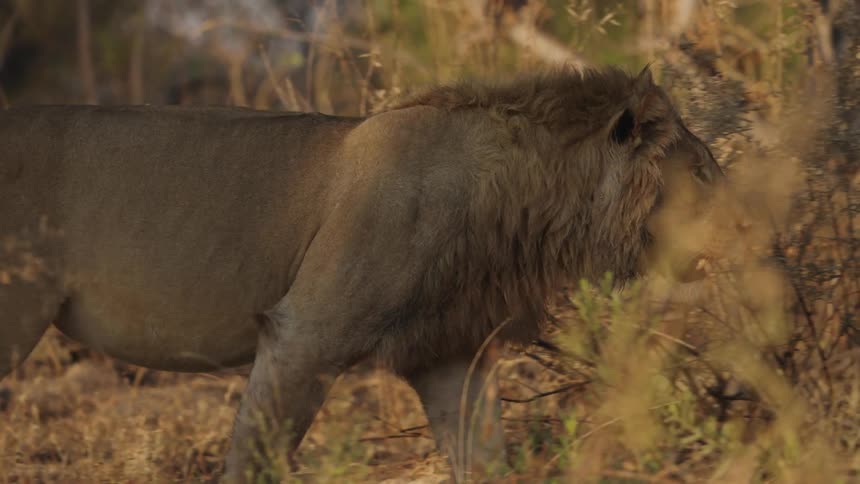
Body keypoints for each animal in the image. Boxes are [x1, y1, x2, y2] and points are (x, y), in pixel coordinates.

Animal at [0, 66, 723, 482]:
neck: (523, 201)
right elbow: (253, 460)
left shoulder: (451, 355)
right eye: (702, 171)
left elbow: (485, 462)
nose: (736, 216)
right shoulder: (303, 335)